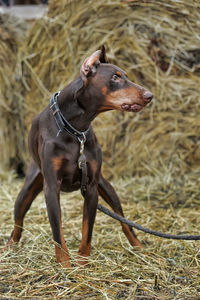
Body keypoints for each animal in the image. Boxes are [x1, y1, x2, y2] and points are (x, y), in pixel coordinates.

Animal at [2, 47, 153, 268]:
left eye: (125, 75)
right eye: (115, 77)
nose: (149, 95)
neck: (75, 128)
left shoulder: (91, 187)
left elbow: (87, 231)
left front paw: (82, 264)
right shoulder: (51, 188)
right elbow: (57, 232)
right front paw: (65, 266)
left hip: (107, 188)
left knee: (124, 221)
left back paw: (139, 247)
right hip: (28, 189)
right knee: (18, 223)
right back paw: (9, 246)